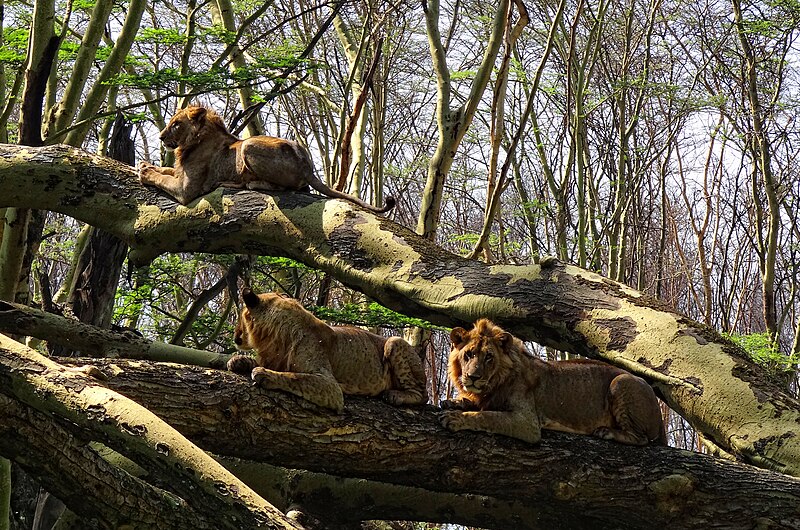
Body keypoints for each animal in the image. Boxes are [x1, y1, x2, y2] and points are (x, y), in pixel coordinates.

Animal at [142, 104, 398, 211]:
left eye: (176, 124)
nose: (160, 136)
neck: (190, 143)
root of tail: (307, 167)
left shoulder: (187, 190)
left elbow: (163, 179)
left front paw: (145, 172)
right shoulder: (179, 172)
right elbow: (166, 171)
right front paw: (145, 165)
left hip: (249, 145)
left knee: (286, 188)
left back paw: (247, 183)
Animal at [228, 286, 428, 410]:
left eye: (241, 316)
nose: (235, 335)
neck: (273, 338)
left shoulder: (330, 386)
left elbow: (295, 377)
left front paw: (264, 374)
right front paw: (238, 361)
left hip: (394, 342)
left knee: (422, 395)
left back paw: (395, 395)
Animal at [438, 316, 664, 444]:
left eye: (489, 357)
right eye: (468, 354)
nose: (473, 377)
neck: (494, 384)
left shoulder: (527, 422)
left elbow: (487, 416)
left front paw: (456, 418)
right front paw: (454, 402)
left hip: (621, 381)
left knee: (642, 439)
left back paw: (606, 432)